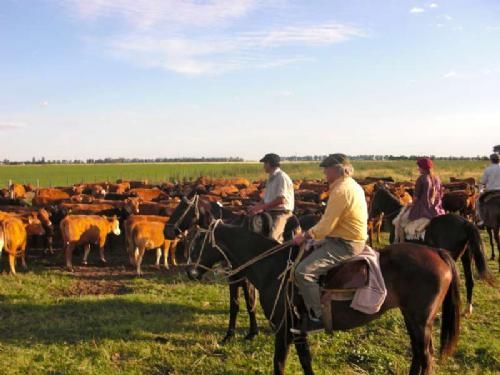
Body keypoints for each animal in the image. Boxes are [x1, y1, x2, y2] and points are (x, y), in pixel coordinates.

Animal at [186, 223, 458, 375]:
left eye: (197, 243)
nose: (190, 272)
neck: (273, 267)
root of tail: (437, 252)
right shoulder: (297, 330)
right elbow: (305, 362)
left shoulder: (284, 328)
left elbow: (279, 364)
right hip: (412, 318)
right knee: (419, 354)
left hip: (420, 321)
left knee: (425, 356)